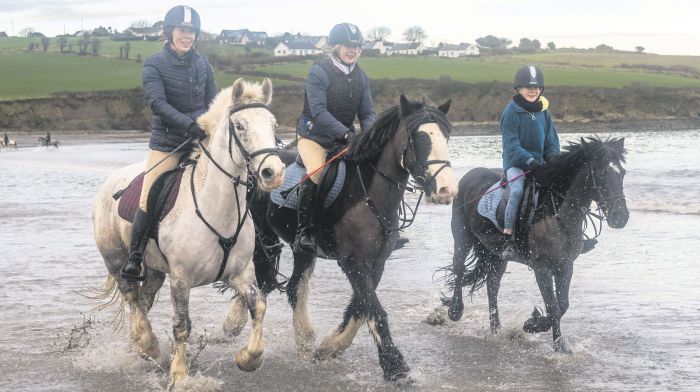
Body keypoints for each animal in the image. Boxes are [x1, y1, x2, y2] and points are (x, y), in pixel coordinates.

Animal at [442, 136, 628, 350]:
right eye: (601, 172)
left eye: (622, 173)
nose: (621, 217)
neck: (555, 213)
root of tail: (469, 175)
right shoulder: (542, 268)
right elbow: (553, 307)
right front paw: (542, 332)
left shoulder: (565, 265)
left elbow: (562, 305)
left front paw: (542, 329)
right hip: (462, 237)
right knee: (459, 268)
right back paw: (455, 310)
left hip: (497, 254)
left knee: (492, 285)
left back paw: (496, 329)